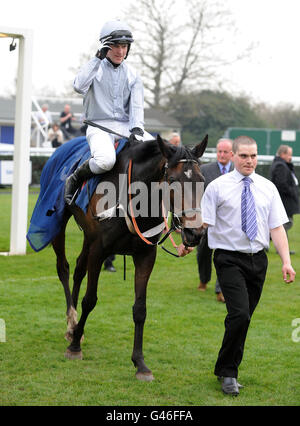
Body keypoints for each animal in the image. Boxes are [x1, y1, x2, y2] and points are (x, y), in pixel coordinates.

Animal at [52, 135, 206, 382]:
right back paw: (72, 322)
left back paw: (73, 327)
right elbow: (90, 300)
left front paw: (140, 364)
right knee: (63, 268)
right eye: (172, 180)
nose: (196, 233)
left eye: (201, 180)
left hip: (88, 236)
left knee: (78, 269)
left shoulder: (145, 255)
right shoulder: (99, 250)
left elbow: (140, 309)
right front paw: (75, 348)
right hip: (59, 221)